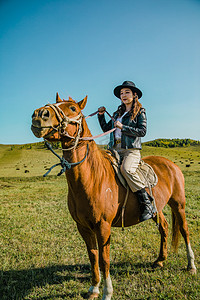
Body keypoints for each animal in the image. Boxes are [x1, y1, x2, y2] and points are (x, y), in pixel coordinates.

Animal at [31, 93, 197, 298]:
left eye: (73, 108)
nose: (39, 114)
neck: (92, 178)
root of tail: (171, 165)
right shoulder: (83, 227)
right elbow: (93, 256)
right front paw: (94, 288)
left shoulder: (103, 227)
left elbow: (104, 259)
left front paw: (107, 292)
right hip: (156, 209)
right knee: (164, 228)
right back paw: (160, 260)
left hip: (178, 204)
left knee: (184, 230)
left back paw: (191, 265)